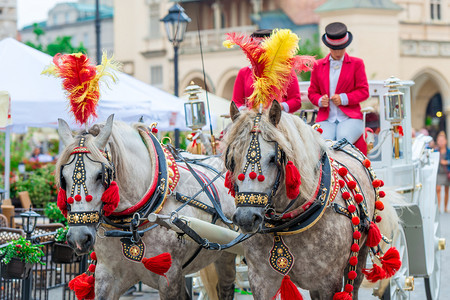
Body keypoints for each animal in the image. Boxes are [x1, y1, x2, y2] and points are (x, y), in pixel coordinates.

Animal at [223, 101, 400, 300]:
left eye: (273, 158)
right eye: (232, 159)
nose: (246, 218)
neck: (287, 225)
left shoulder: (329, 282)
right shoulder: (260, 280)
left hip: (360, 253)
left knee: (354, 284)